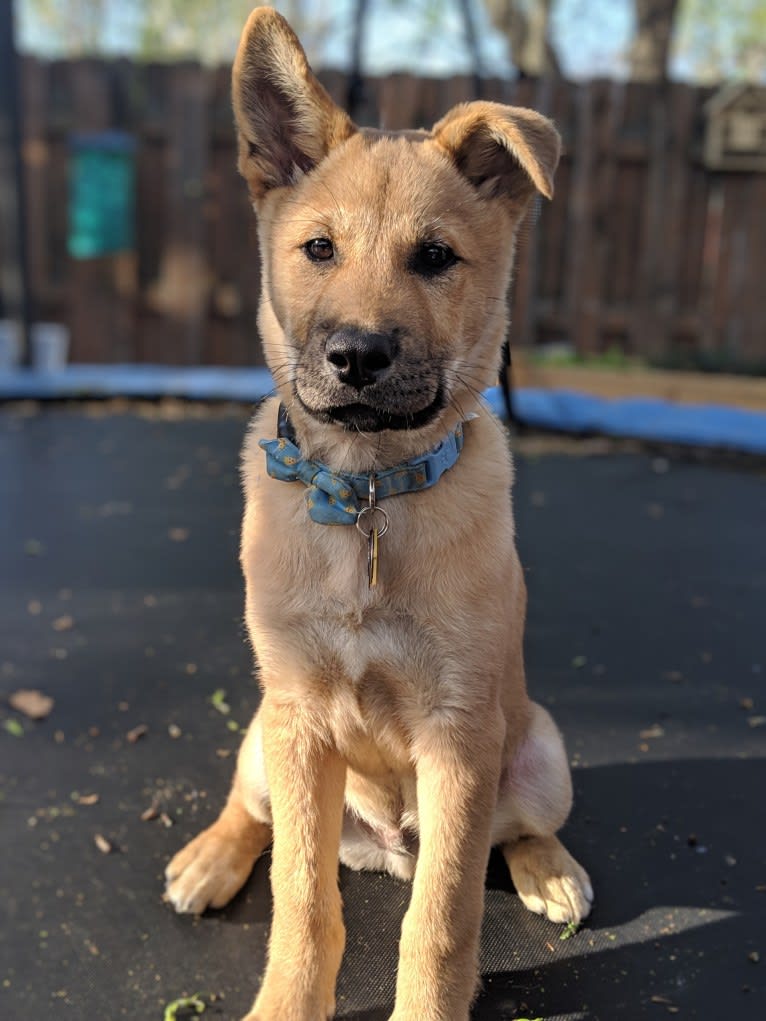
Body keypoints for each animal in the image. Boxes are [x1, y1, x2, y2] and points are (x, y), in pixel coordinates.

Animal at [166, 7, 592, 1021]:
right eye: (318, 249)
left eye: (435, 257)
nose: (357, 355)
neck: (367, 493)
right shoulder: (299, 721)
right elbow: (302, 899)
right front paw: (288, 1000)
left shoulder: (459, 732)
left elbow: (441, 915)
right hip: (262, 734)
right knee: (253, 812)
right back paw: (210, 856)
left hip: (541, 752)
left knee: (510, 833)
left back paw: (551, 868)